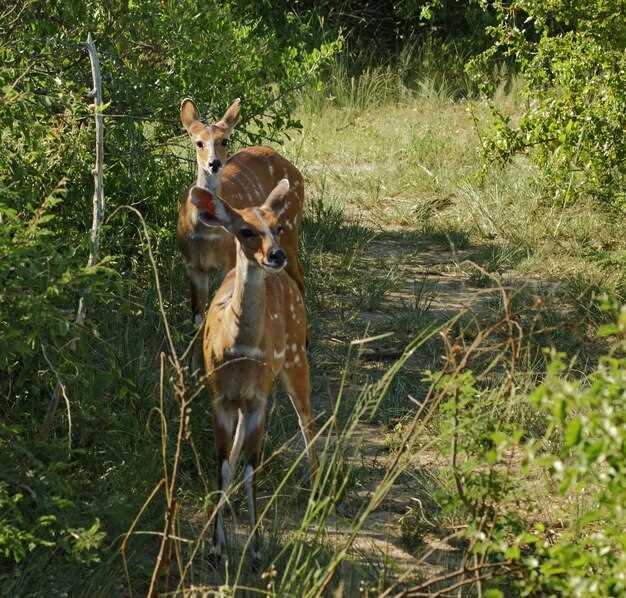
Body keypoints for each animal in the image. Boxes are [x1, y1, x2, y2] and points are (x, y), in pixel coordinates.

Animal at [176, 97, 304, 338]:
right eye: (198, 143)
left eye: (224, 141)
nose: (214, 163)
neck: (205, 232)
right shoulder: (192, 266)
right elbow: (197, 317)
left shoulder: (229, 261)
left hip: (292, 229)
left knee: (300, 278)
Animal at [183, 180, 314, 560]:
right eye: (246, 231)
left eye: (278, 227)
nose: (276, 256)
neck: (240, 349)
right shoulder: (220, 395)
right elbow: (223, 464)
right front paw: (215, 545)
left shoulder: (259, 398)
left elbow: (251, 468)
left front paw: (256, 548)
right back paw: (227, 504)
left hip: (295, 357)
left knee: (307, 419)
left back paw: (318, 494)